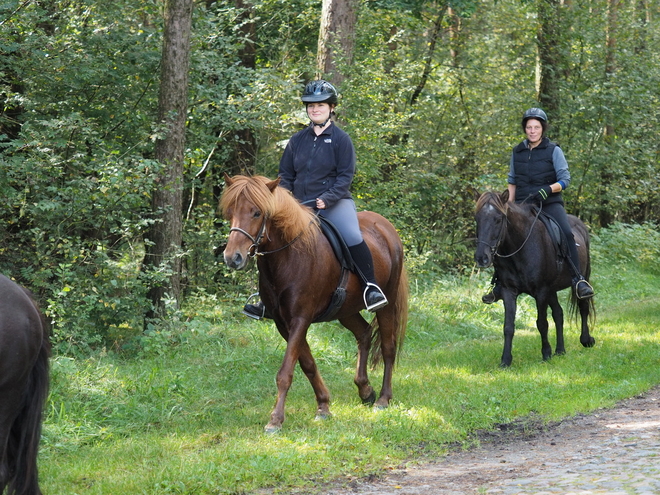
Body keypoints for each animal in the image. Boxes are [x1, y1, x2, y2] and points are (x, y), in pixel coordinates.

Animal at [222, 176, 408, 432]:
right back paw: (365, 390)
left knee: (388, 347)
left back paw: (383, 398)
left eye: (257, 213)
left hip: (386, 304)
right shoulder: (283, 323)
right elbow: (307, 364)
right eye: (230, 212)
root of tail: (386, 226)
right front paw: (323, 406)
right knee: (364, 334)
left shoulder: (301, 319)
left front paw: (275, 419)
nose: (233, 258)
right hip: (346, 310)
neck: (289, 256)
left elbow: (286, 371)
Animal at [474, 192, 592, 366]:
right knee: (558, 313)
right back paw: (560, 350)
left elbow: (542, 323)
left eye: (498, 219)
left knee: (583, 306)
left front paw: (546, 354)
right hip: (552, 290)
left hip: (581, 278)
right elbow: (508, 326)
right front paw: (505, 360)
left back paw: (586, 340)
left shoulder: (541, 291)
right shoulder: (509, 291)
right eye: (477, 219)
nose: (481, 258)